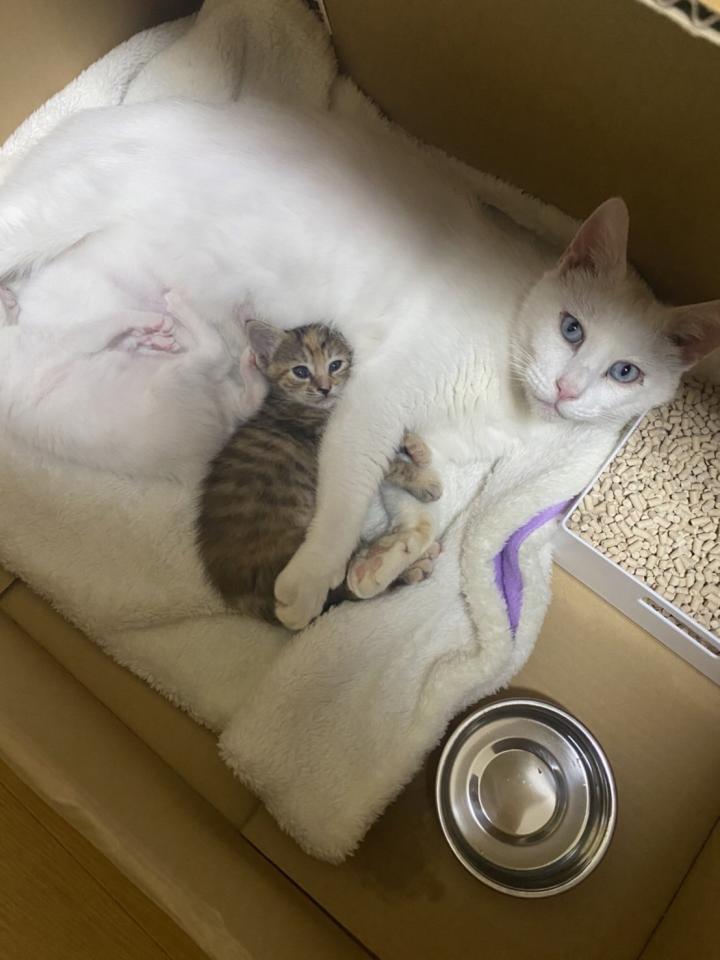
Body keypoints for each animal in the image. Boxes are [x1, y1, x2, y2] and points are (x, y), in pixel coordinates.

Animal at [197, 319, 443, 623]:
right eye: (301, 371)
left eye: (335, 365)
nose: (325, 388)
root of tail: (239, 593)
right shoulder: (322, 438)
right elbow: (389, 464)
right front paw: (424, 480)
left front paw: (416, 447)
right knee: (340, 589)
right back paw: (402, 567)